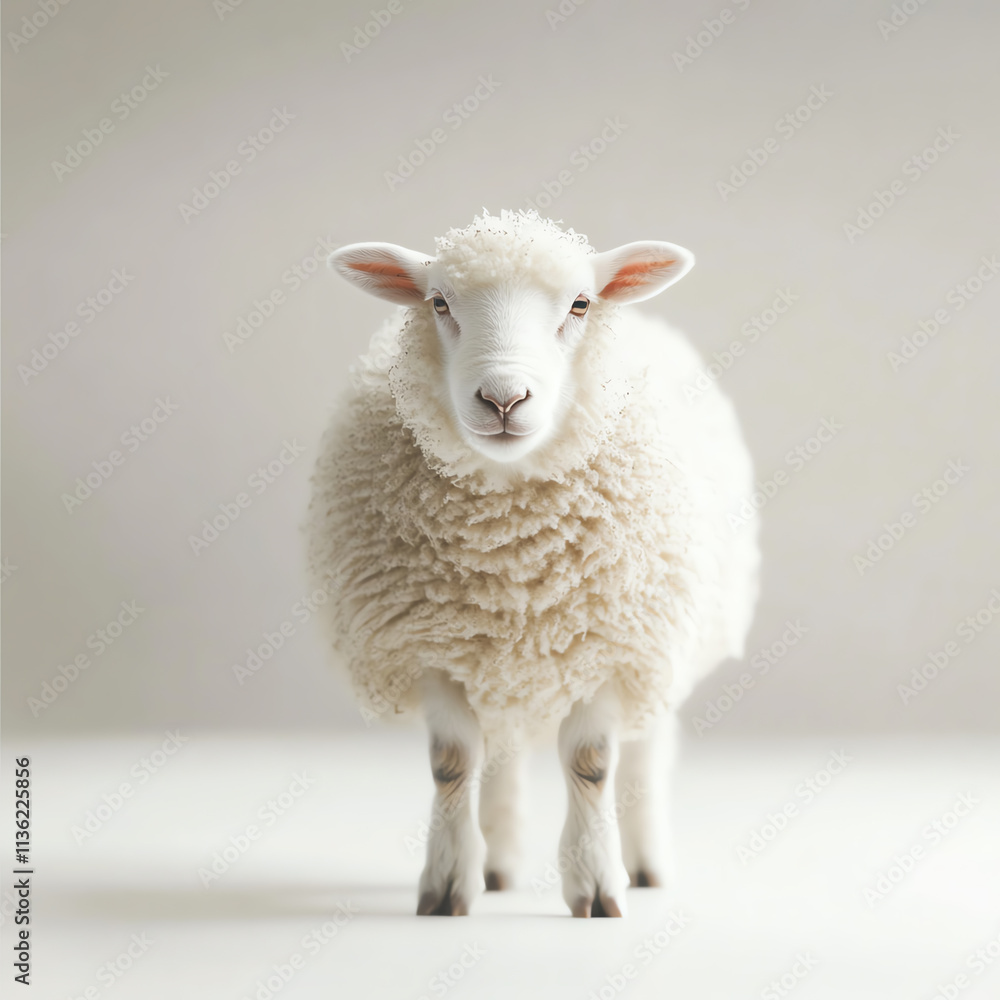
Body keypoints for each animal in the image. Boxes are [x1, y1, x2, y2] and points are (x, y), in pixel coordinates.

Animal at [307, 209, 759, 918]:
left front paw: (598, 886)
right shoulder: (432, 648)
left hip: (661, 642)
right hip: (497, 666)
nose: (502, 398)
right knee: (499, 753)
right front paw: (447, 886)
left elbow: (591, 764)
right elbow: (452, 762)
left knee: (644, 753)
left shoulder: (610, 645)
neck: (513, 559)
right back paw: (498, 863)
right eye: (439, 302)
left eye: (580, 304)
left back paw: (647, 862)